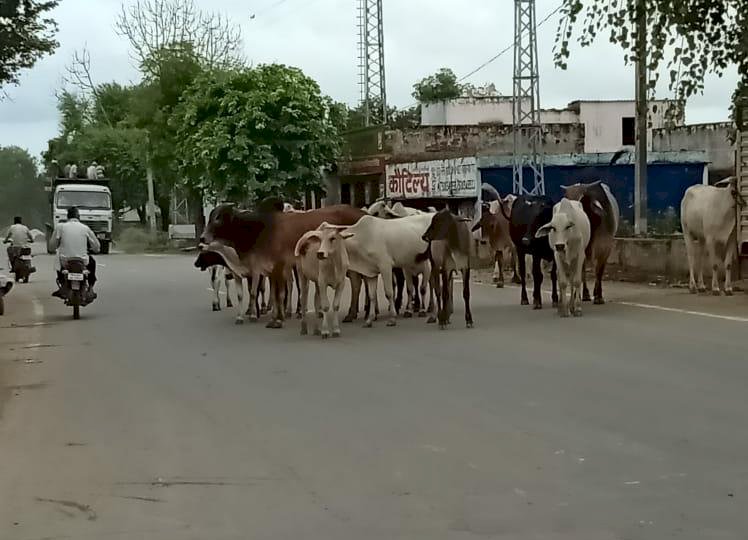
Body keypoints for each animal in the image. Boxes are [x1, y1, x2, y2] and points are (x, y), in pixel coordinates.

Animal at [200, 204, 366, 326]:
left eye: (218, 219)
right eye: (210, 217)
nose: (202, 238)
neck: (259, 230)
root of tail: (362, 213)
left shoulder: (277, 266)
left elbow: (278, 293)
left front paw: (278, 318)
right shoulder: (268, 269)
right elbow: (273, 294)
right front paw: (274, 317)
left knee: (357, 282)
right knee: (357, 283)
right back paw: (352, 313)